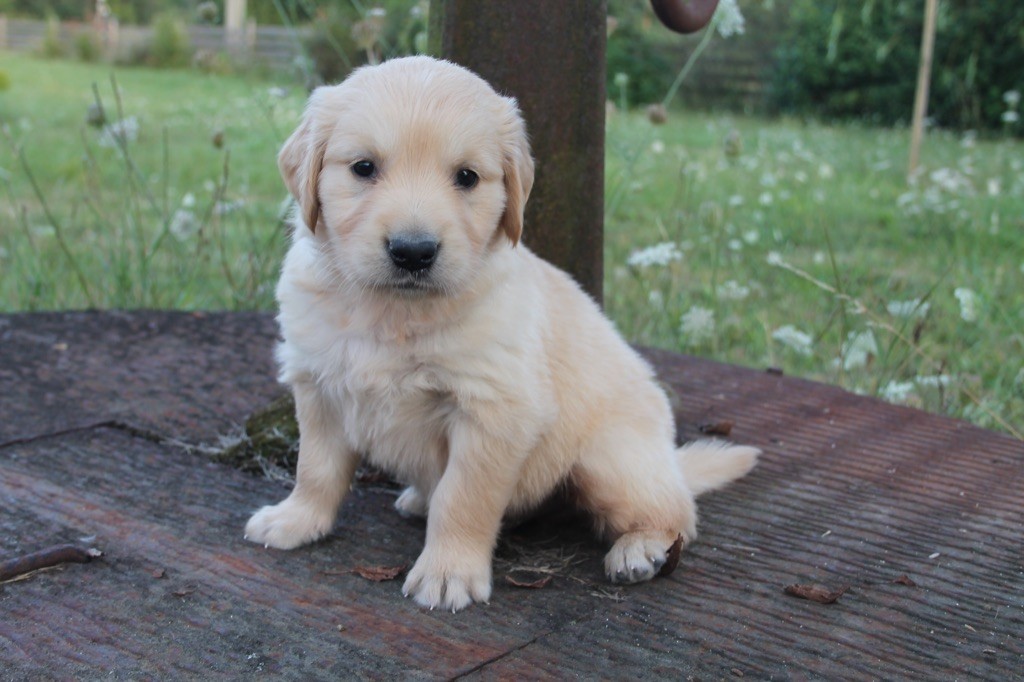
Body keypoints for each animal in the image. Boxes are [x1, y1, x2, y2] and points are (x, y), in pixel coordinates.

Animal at [244, 56, 758, 612]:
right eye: (363, 168)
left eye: (467, 177)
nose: (413, 251)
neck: (393, 312)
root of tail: (670, 460)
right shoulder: (318, 387)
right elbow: (315, 468)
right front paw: (296, 519)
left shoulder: (494, 410)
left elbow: (463, 497)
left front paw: (447, 571)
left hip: (610, 458)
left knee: (676, 511)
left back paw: (640, 548)